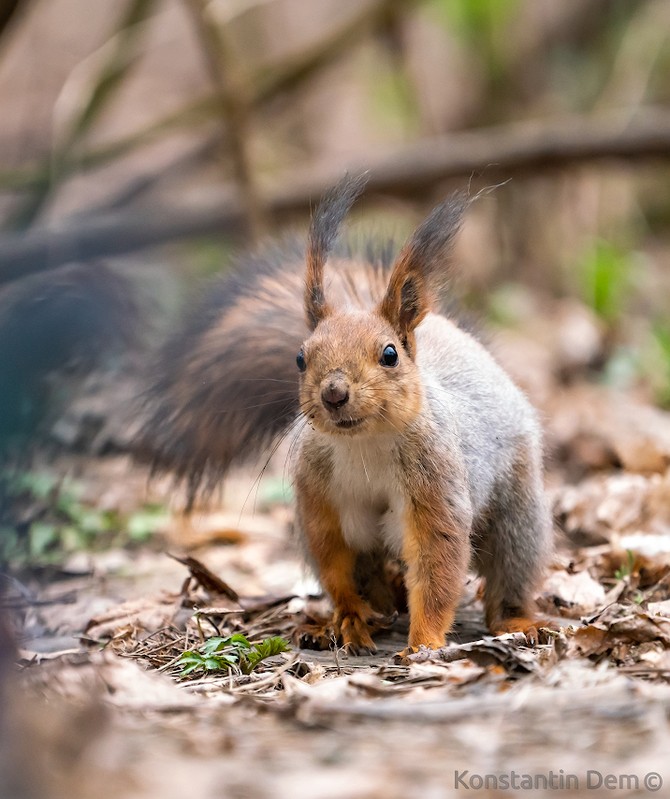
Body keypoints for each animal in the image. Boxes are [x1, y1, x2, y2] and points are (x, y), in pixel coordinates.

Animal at [140, 177, 552, 656]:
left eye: (390, 354)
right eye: (300, 358)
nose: (334, 393)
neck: (364, 443)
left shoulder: (436, 482)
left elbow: (438, 564)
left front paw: (424, 643)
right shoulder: (318, 495)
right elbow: (334, 559)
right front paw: (349, 619)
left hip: (518, 514)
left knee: (508, 572)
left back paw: (516, 621)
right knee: (369, 573)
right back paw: (351, 617)